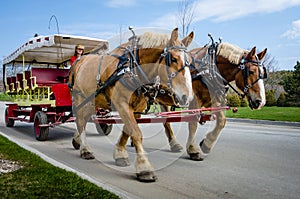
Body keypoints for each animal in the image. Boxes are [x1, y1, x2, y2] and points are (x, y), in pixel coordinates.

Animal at [70, 27, 195, 182]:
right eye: (173, 59)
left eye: (191, 61)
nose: (187, 97)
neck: (131, 66)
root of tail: (79, 61)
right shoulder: (122, 104)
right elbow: (136, 132)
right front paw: (144, 168)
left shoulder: (136, 108)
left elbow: (128, 130)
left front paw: (120, 154)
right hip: (80, 98)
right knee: (80, 120)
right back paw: (85, 149)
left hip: (91, 101)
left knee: (83, 119)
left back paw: (77, 140)